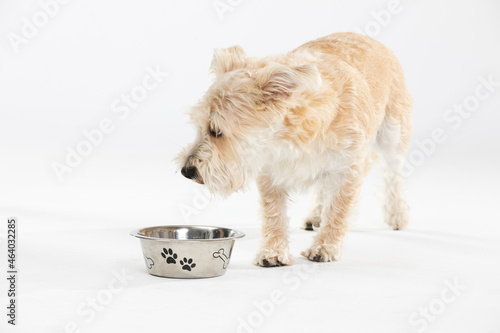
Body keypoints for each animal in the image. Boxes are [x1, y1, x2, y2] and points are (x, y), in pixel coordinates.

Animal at [178, 33, 412, 268]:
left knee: (393, 173)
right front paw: (273, 250)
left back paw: (397, 214)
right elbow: (274, 214)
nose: (186, 171)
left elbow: (338, 210)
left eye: (216, 131)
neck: (289, 137)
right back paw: (315, 216)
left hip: (392, 134)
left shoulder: (349, 168)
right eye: (200, 127)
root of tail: (367, 37)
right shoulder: (269, 174)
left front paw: (325, 246)